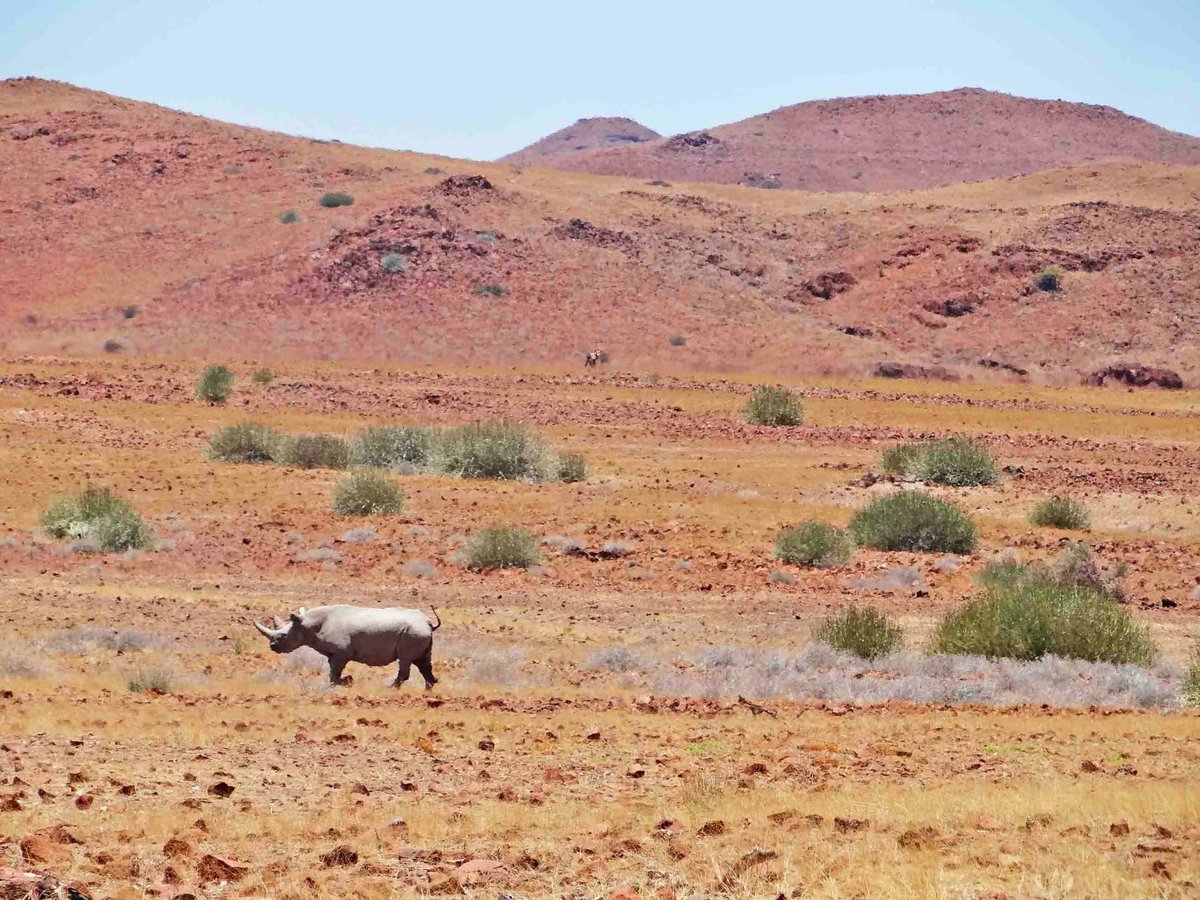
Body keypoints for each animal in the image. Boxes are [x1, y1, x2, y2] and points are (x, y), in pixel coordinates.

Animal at [252, 605, 440, 688]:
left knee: (405, 659)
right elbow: (332, 672)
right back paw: (428, 690)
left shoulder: (341, 653)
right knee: (423, 663)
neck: (308, 625)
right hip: (417, 632)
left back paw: (389, 687)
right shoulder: (333, 653)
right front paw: (346, 681)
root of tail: (428, 622)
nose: (272, 646)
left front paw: (347, 680)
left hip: (412, 632)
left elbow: (334, 674)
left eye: (283, 635)